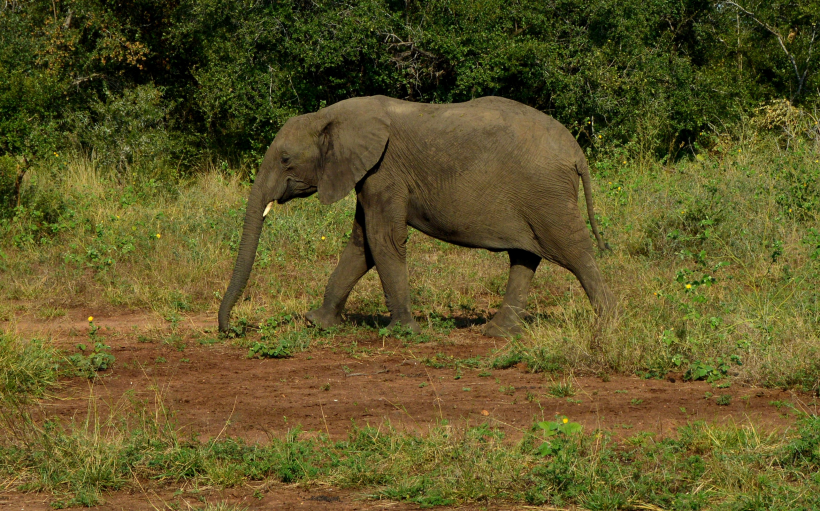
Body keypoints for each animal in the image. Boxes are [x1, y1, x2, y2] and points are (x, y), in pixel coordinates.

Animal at [218, 95, 615, 337]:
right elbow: (361, 245)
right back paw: (497, 332)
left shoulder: (385, 171)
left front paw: (403, 332)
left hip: (547, 194)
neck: (332, 116)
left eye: (285, 159)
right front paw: (319, 324)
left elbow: (383, 241)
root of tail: (576, 151)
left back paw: (608, 322)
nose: (231, 330)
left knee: (575, 253)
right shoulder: (368, 174)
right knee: (524, 257)